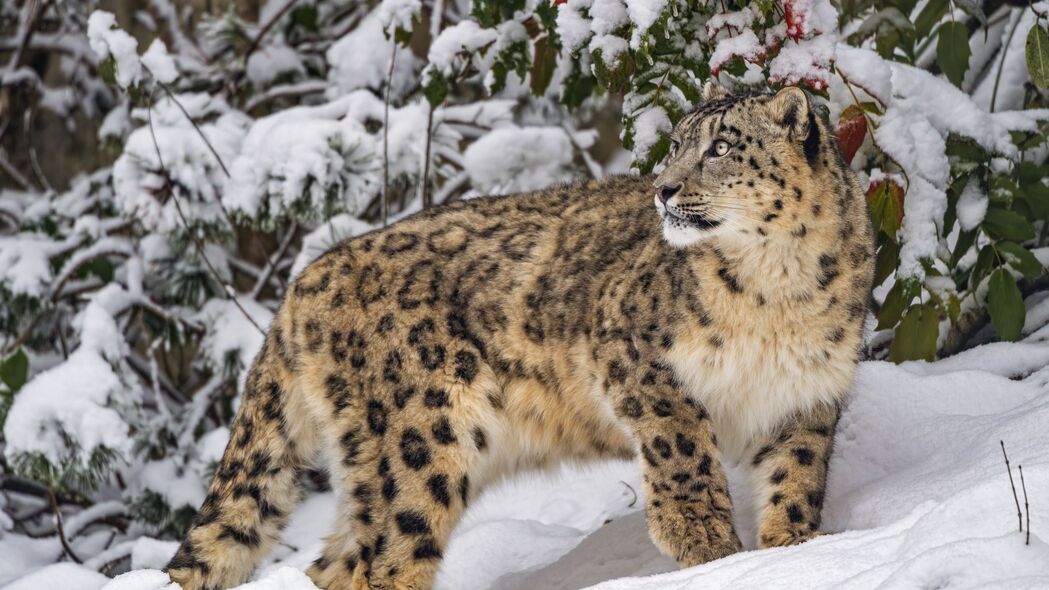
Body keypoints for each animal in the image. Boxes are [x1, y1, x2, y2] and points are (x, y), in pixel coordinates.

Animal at [163, 83, 872, 587]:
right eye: (676, 145)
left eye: (721, 147)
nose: (664, 189)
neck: (780, 290)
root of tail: (303, 282)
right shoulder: (634, 359)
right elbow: (684, 454)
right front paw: (708, 550)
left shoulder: (807, 395)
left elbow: (797, 478)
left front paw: (789, 552)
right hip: (420, 440)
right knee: (388, 556)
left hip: (379, 466)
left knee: (338, 561)